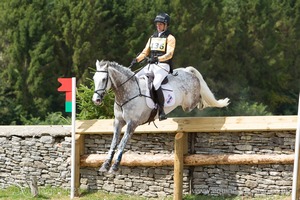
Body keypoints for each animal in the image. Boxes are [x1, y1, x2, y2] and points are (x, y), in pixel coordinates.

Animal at [92, 59, 230, 173]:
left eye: (104, 79)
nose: (96, 100)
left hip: (188, 104)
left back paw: (205, 104)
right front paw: (105, 165)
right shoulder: (118, 122)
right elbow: (113, 143)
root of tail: (186, 70)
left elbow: (122, 144)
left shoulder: (132, 124)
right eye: (94, 78)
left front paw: (114, 167)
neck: (126, 94)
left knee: (199, 99)